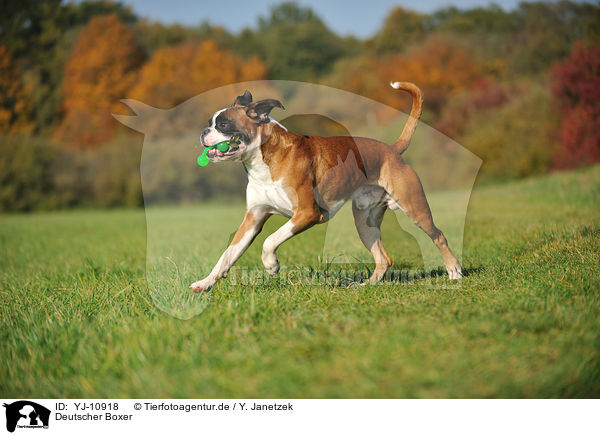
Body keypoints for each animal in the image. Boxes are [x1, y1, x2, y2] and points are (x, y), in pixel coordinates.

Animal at [190, 82, 462, 292]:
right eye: (211, 123)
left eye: (223, 124)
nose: (203, 131)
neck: (264, 159)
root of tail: (392, 150)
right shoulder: (252, 220)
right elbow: (227, 256)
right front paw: (205, 283)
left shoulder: (308, 214)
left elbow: (270, 240)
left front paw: (271, 265)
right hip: (365, 223)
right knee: (383, 259)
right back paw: (365, 286)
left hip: (415, 208)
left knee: (438, 235)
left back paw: (454, 272)